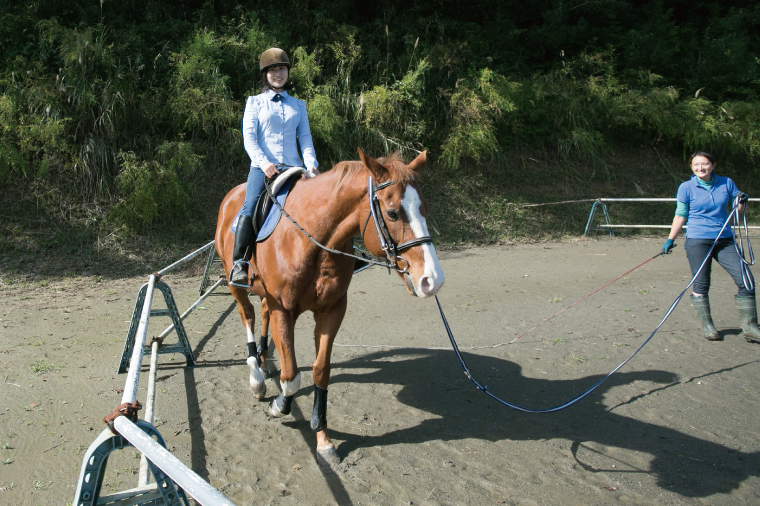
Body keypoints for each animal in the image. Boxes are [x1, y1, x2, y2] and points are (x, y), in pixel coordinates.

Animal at [214, 149, 445, 463]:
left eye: (425, 208)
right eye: (393, 213)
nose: (432, 280)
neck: (311, 238)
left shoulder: (332, 309)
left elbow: (321, 370)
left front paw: (322, 437)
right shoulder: (283, 309)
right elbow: (292, 374)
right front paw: (279, 406)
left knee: (260, 313)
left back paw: (262, 360)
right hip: (235, 283)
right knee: (247, 315)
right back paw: (256, 377)